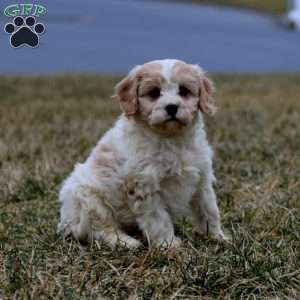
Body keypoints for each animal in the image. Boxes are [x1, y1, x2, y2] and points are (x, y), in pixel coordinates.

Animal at [56, 59, 225, 248]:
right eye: (154, 92)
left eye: (184, 90)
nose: (172, 107)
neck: (171, 138)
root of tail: (66, 223)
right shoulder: (145, 186)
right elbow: (158, 219)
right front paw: (169, 244)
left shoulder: (202, 179)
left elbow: (209, 210)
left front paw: (217, 237)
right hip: (90, 200)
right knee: (101, 229)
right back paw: (127, 242)